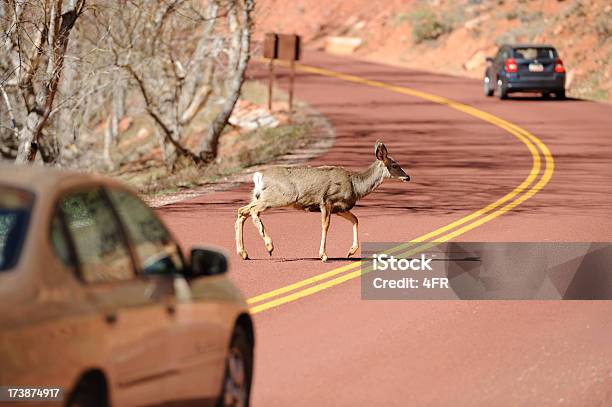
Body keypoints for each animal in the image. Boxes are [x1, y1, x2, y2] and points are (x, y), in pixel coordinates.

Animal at [235, 141, 412, 262]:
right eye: (395, 165)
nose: (408, 177)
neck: (355, 185)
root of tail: (259, 175)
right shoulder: (327, 200)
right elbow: (326, 226)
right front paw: (324, 255)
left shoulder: (340, 208)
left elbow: (355, 219)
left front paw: (350, 251)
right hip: (281, 196)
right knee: (252, 211)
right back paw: (269, 245)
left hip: (259, 196)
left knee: (241, 211)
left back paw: (244, 253)